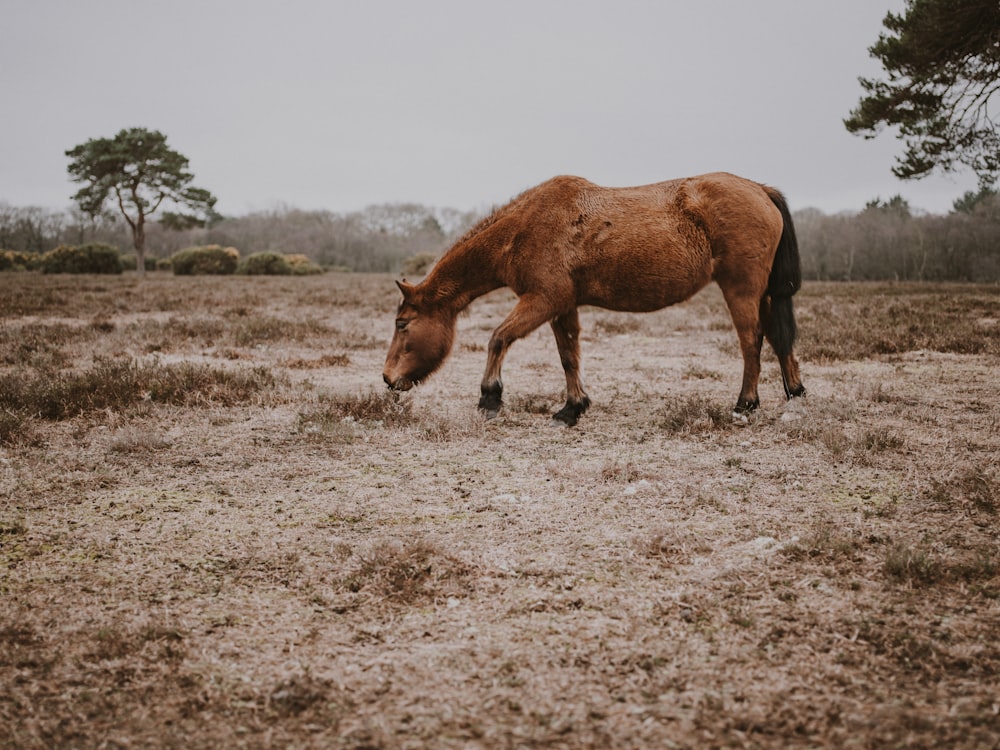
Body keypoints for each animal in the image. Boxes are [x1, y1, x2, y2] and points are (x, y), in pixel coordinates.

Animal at [382, 173, 804, 426]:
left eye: (403, 324)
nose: (388, 379)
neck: (525, 228)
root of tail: (759, 189)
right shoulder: (562, 306)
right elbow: (569, 357)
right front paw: (572, 408)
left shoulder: (543, 300)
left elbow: (499, 338)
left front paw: (490, 398)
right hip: (763, 294)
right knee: (778, 338)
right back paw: (794, 391)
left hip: (741, 290)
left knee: (752, 341)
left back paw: (745, 404)